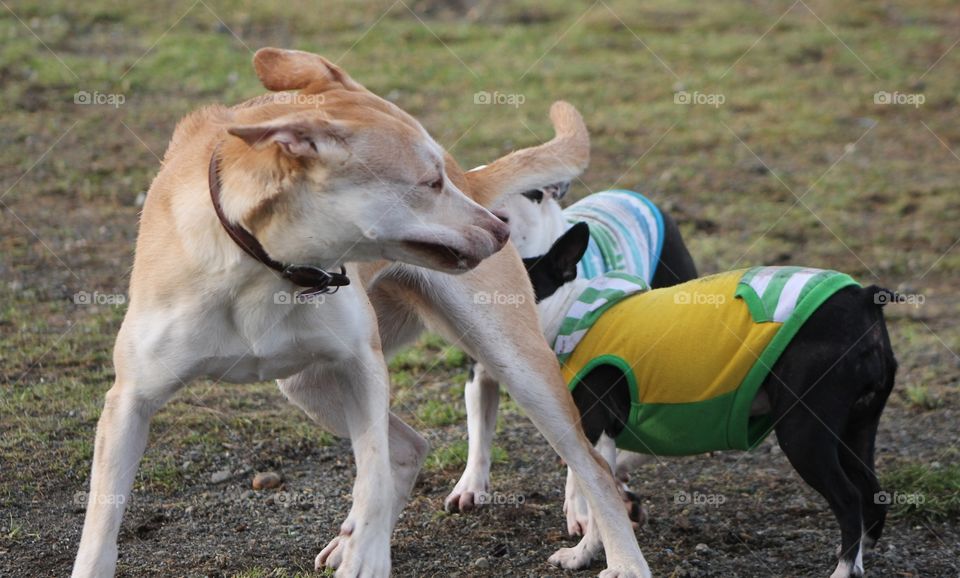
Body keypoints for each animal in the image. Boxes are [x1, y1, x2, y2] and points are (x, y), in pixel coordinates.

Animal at [520, 222, 896, 576]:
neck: (571, 311)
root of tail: (862, 298)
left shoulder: (596, 426)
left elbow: (594, 491)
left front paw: (582, 553)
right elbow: (608, 475)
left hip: (803, 432)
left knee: (848, 498)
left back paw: (843, 569)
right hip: (855, 429)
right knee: (871, 493)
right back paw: (858, 556)